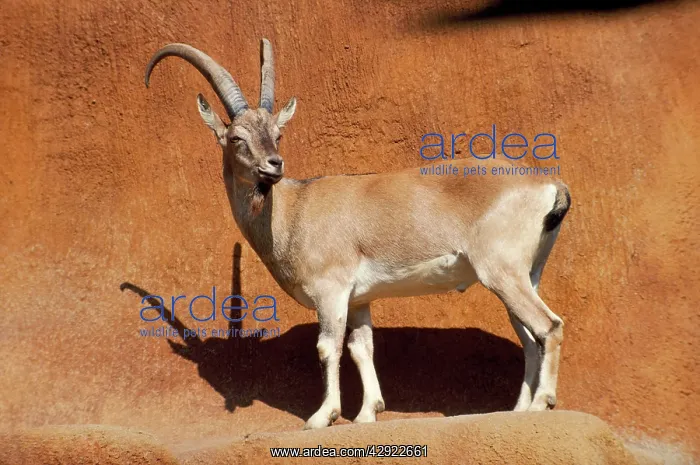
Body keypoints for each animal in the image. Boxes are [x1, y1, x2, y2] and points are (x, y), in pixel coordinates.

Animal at [144, 39, 571, 430]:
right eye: (236, 137)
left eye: (278, 134)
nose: (273, 165)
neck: (294, 209)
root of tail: (549, 184)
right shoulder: (360, 298)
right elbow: (361, 347)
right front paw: (368, 413)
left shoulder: (330, 289)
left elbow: (328, 347)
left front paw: (323, 416)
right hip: (525, 274)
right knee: (529, 337)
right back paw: (517, 410)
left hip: (501, 271)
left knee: (548, 326)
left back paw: (541, 404)